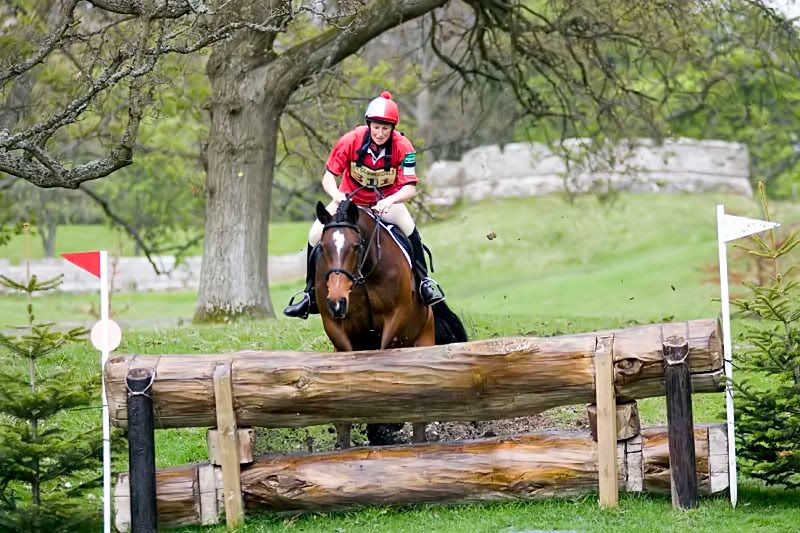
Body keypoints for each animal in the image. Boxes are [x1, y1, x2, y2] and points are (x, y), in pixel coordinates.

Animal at [314, 199, 468, 447]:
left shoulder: (397, 316)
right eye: (323, 247)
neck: (364, 274)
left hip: (424, 335)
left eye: (356, 246)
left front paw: (385, 420)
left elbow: (387, 356)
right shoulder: (333, 324)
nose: (337, 301)